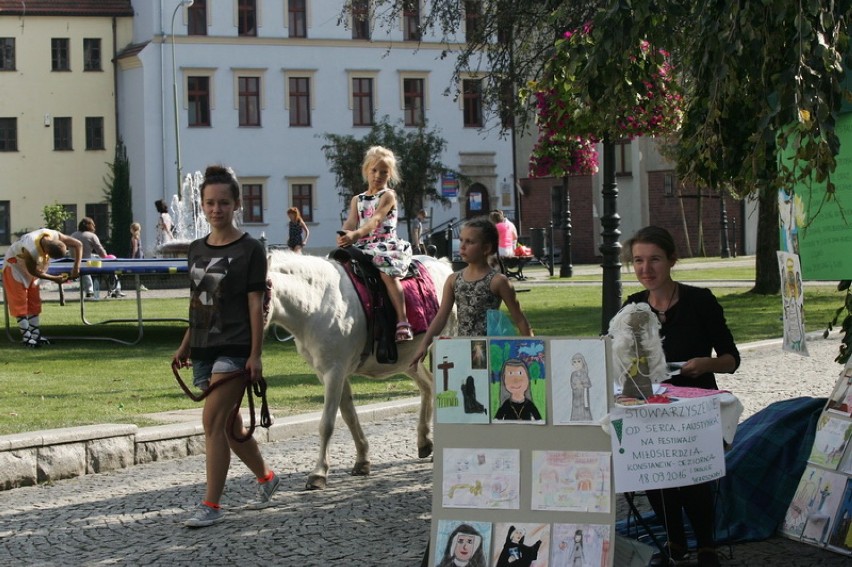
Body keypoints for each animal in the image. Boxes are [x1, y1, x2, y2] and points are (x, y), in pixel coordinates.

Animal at [266, 251, 456, 490]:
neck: (318, 303)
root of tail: (443, 264)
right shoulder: (329, 372)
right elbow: (349, 415)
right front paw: (362, 460)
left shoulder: (334, 371)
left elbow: (327, 423)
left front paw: (318, 473)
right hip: (410, 359)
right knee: (428, 386)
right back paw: (424, 441)